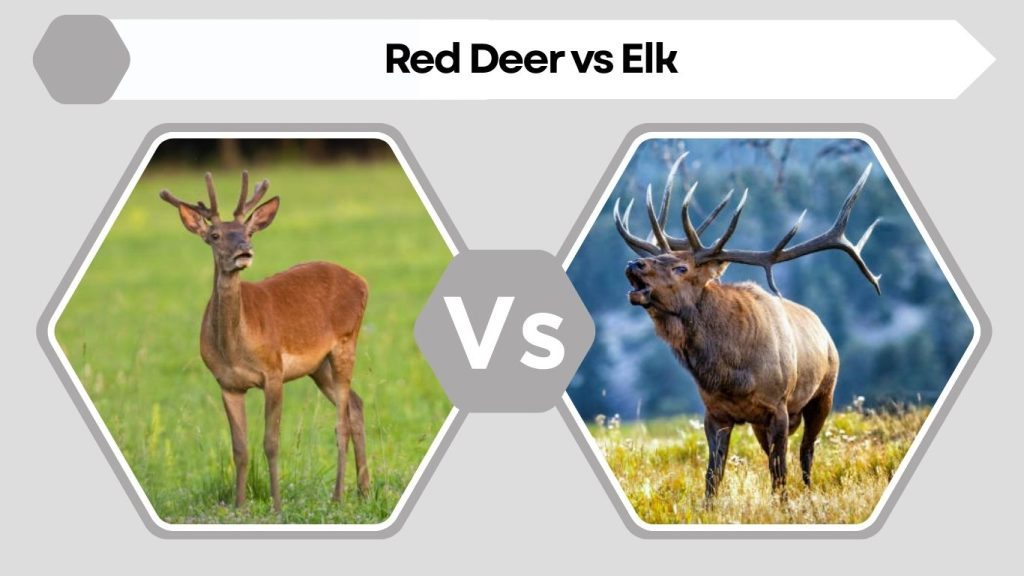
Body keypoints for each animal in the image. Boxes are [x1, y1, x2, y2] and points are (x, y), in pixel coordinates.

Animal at [159, 171, 370, 512]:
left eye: (248, 232)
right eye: (215, 235)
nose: (244, 250)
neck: (234, 347)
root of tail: (362, 281)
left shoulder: (273, 371)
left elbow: (271, 442)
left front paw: (277, 505)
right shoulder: (227, 383)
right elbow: (239, 447)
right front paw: (239, 506)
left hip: (346, 342)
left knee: (342, 422)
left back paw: (338, 496)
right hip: (318, 366)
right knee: (356, 404)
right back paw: (364, 490)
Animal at [612, 153, 881, 501]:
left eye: (681, 267)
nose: (634, 263)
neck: (731, 373)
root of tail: (825, 332)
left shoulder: (778, 407)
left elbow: (779, 474)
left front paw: (784, 506)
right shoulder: (715, 414)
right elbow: (713, 476)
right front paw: (708, 508)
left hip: (823, 394)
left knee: (806, 452)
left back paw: (809, 493)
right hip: (759, 424)